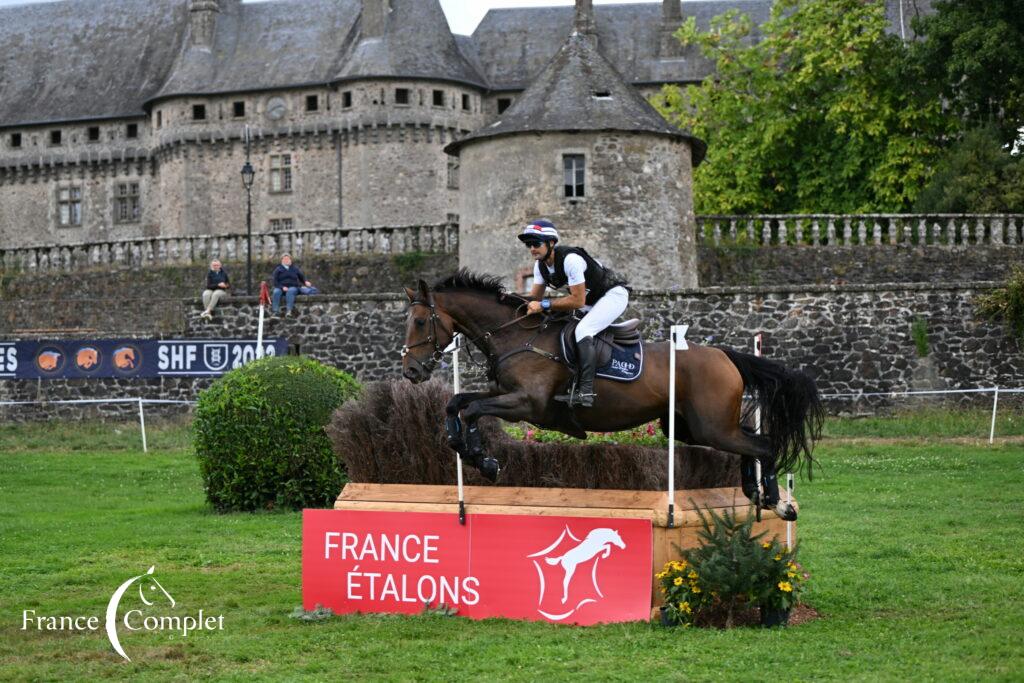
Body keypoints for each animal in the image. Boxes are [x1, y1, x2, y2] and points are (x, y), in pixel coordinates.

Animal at [399, 270, 823, 520]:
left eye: (419, 322)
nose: (411, 372)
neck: (517, 335)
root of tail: (723, 355)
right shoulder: (504, 394)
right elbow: (457, 404)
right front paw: (465, 449)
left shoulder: (527, 405)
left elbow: (472, 411)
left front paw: (485, 461)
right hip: (691, 427)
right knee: (749, 441)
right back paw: (755, 493)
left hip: (710, 425)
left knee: (764, 444)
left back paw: (777, 502)